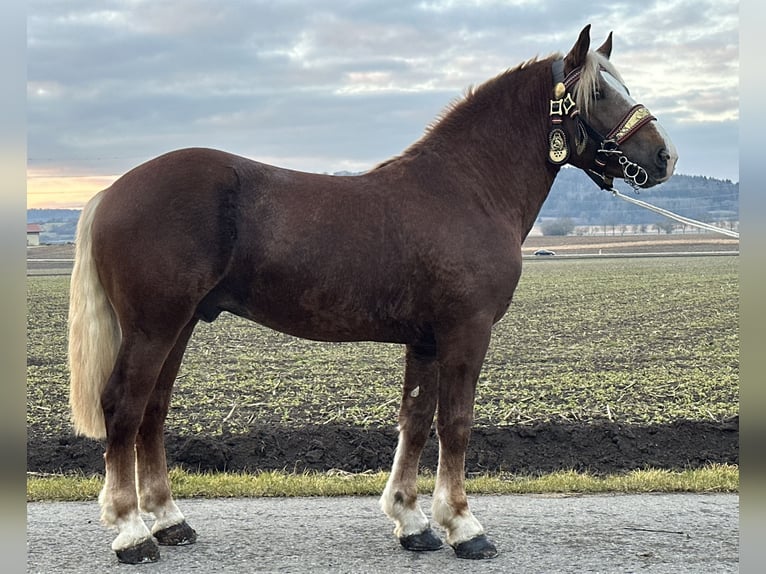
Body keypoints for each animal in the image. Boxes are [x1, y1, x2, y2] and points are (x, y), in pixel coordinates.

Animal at [67, 24, 680, 564]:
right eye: (599, 92)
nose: (664, 156)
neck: (466, 189)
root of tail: (111, 192)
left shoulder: (426, 340)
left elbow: (416, 419)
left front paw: (412, 522)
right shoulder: (466, 332)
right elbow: (455, 423)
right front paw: (463, 526)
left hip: (181, 324)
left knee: (153, 410)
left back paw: (169, 522)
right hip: (154, 327)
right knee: (123, 406)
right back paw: (132, 533)